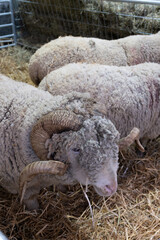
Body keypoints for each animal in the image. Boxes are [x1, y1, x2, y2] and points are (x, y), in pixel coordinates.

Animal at [0, 75, 139, 210]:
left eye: (114, 140)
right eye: (76, 149)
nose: (111, 187)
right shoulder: (27, 190)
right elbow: (32, 203)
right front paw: (36, 212)